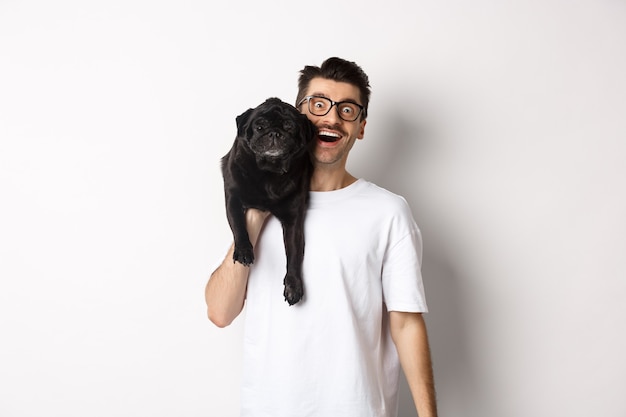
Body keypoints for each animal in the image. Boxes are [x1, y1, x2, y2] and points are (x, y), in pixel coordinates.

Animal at [221, 98, 316, 304]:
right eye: (259, 127)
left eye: (289, 126)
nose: (273, 132)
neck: (270, 172)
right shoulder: (233, 198)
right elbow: (239, 225)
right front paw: (244, 251)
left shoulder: (293, 221)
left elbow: (294, 254)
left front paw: (293, 285)